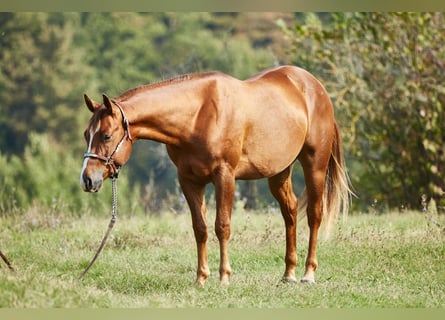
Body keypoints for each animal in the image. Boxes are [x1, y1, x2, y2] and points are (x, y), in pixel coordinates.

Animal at [79, 65, 350, 284]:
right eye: (86, 134)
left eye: (106, 136)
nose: (87, 179)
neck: (198, 116)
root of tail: (315, 87)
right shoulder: (189, 180)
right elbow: (200, 228)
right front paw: (201, 278)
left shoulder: (224, 176)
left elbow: (222, 226)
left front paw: (224, 277)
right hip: (279, 171)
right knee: (290, 211)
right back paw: (288, 274)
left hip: (315, 164)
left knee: (314, 214)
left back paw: (308, 274)